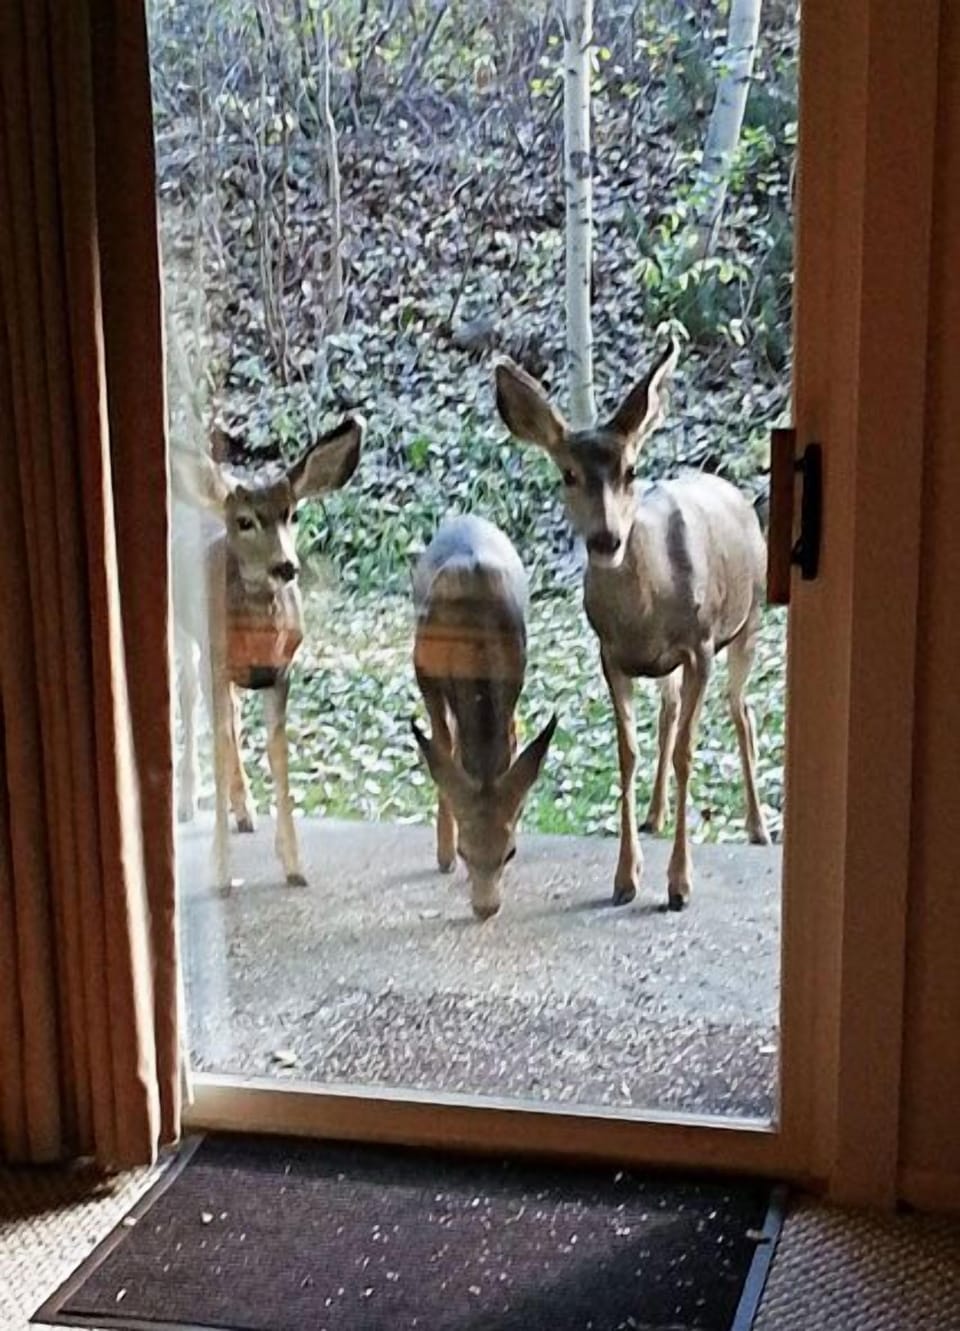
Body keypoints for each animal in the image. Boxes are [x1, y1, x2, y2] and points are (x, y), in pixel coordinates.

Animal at [171, 416, 364, 894]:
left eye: (292, 514)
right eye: (244, 521)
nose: (286, 566)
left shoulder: (280, 671)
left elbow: (278, 758)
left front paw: (293, 864)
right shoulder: (218, 661)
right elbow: (220, 739)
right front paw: (221, 871)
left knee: (230, 718)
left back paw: (245, 812)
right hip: (186, 633)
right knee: (190, 698)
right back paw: (187, 801)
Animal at [410, 515, 558, 921]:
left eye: (510, 853)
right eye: (465, 851)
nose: (486, 907)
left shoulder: (514, 676)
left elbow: (510, 746)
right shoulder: (423, 670)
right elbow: (440, 745)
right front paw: (444, 853)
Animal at [494, 341, 770, 912]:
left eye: (631, 469)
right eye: (568, 474)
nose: (606, 539)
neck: (644, 613)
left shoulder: (700, 645)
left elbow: (687, 752)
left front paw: (679, 884)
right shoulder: (611, 655)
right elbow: (628, 753)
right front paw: (625, 877)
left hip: (748, 622)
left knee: (742, 712)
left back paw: (759, 827)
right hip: (670, 665)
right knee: (669, 712)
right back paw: (654, 815)